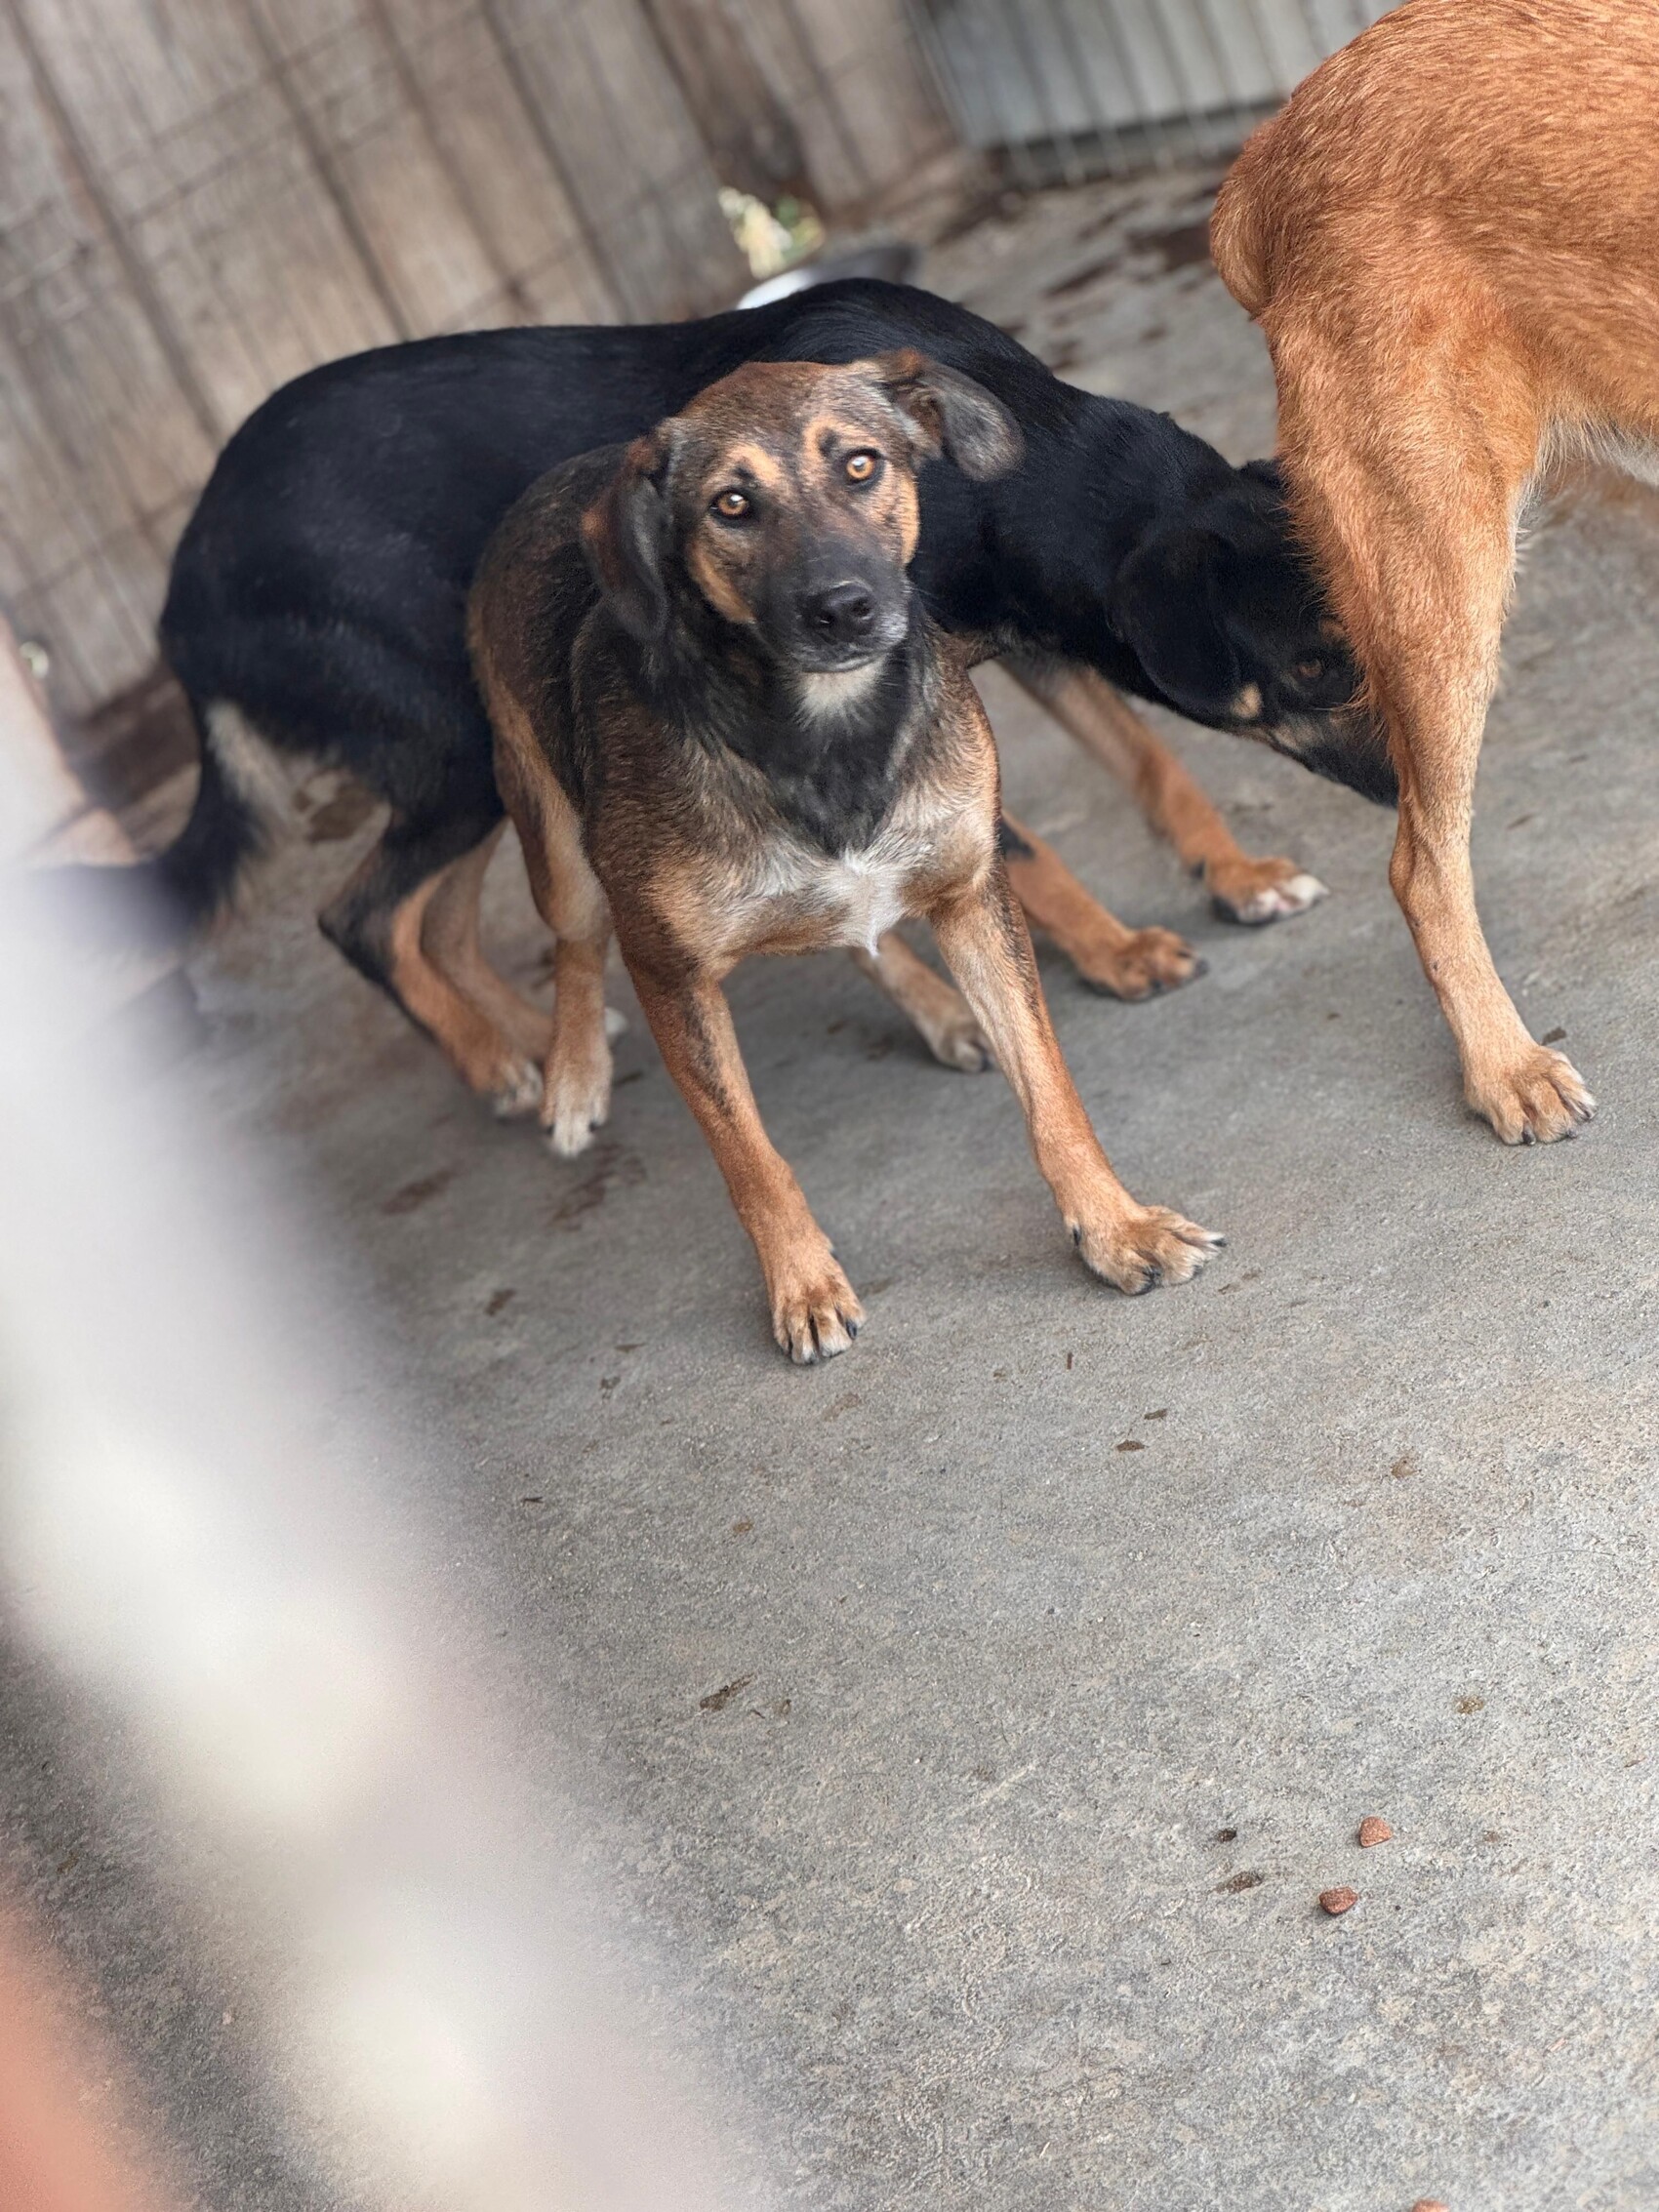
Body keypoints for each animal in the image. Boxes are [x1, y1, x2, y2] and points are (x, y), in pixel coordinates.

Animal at [92, 279, 1374, 1111]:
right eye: (1311, 667)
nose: (1405, 788)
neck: (1013, 461)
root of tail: (182, 593)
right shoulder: (918, 684)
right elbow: (1024, 849)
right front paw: (1113, 952)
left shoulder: (1029, 639)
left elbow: (1149, 761)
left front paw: (1235, 874)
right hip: (458, 746)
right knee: (357, 915)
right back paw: (500, 1064)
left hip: (482, 769)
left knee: (432, 917)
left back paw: (541, 1042)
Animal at [469, 354, 1223, 1359]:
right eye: (732, 504)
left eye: (861, 465)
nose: (843, 608)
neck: (829, 734)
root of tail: (546, 486)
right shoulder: (668, 969)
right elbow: (750, 1155)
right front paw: (802, 1284)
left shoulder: (971, 895)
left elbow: (1050, 1091)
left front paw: (1114, 1226)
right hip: (555, 838)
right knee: (575, 939)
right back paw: (575, 1074)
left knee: (858, 937)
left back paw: (942, 1012)